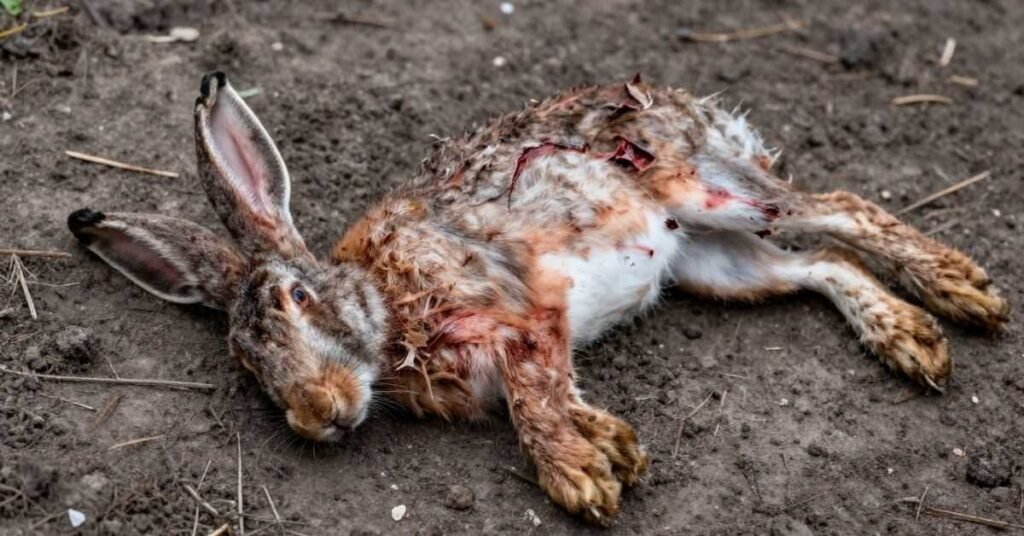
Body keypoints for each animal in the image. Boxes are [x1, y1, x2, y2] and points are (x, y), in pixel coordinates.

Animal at [68, 72, 1008, 525]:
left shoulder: (523, 314)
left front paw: (581, 475)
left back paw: (958, 291)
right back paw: (906, 335)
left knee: (840, 209)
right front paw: (611, 447)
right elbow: (553, 390)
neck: (383, 306)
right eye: (246, 366)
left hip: (705, 189)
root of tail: (678, 103)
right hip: (710, 265)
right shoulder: (533, 338)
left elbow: (531, 394)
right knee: (817, 264)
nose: (319, 416)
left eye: (300, 298)